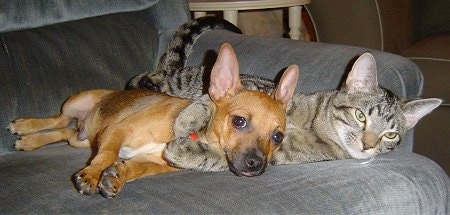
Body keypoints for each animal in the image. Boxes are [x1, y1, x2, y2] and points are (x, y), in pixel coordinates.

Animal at [7, 43, 298, 198]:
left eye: (277, 137)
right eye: (239, 122)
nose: (256, 164)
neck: (190, 134)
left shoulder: (158, 162)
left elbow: (138, 168)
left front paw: (116, 176)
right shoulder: (117, 131)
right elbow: (107, 155)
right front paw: (92, 174)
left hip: (85, 139)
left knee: (63, 133)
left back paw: (29, 141)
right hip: (76, 103)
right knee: (57, 119)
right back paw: (24, 125)